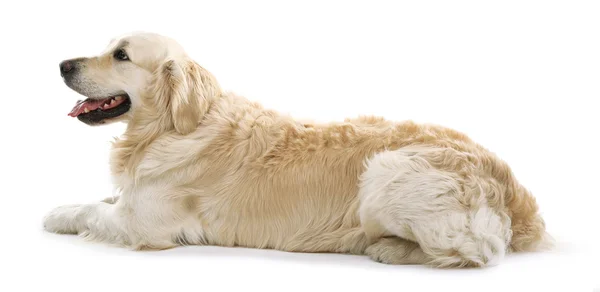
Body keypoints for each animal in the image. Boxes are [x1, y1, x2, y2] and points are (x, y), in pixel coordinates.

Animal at [43, 31, 552, 266]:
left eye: (121, 55)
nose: (63, 64)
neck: (171, 127)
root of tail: (512, 186)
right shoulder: (136, 197)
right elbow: (102, 196)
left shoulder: (144, 224)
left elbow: (93, 210)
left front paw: (55, 215)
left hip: (385, 172)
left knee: (477, 252)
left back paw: (385, 248)